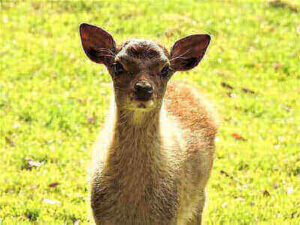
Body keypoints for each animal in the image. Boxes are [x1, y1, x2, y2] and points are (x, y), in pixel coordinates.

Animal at [78, 23, 217, 225]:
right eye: (117, 66)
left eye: (165, 69)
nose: (143, 89)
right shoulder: (101, 216)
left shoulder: (169, 215)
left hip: (198, 199)